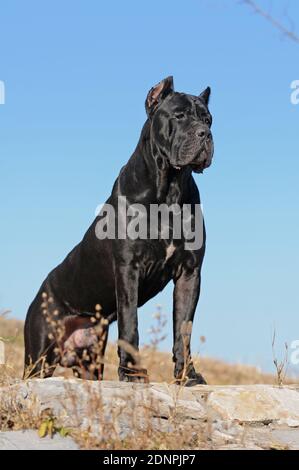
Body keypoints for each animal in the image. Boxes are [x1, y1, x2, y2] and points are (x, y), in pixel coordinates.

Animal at [24, 78, 214, 386]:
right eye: (179, 116)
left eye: (208, 119)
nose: (205, 134)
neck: (170, 188)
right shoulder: (128, 268)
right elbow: (130, 325)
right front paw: (133, 374)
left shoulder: (189, 272)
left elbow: (183, 329)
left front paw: (188, 375)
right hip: (38, 355)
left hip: (88, 360)